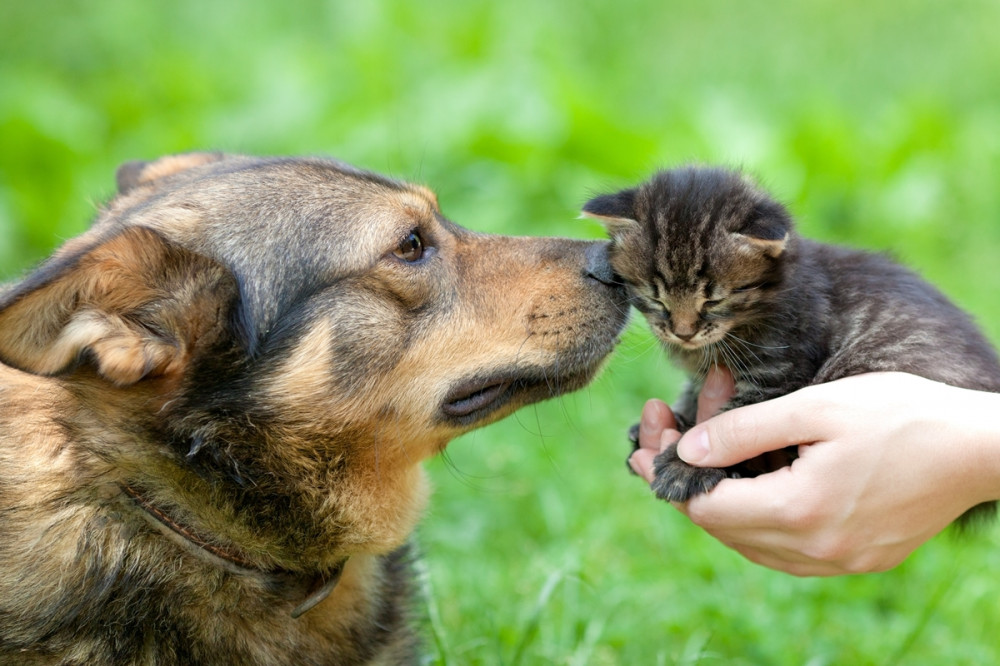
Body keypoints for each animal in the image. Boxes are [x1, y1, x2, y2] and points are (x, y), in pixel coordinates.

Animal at [584, 167, 1000, 524]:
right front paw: (678, 418)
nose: (682, 332)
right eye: (656, 298)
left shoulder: (780, 372)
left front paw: (687, 462)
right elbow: (694, 390)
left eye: (714, 300)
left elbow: (727, 415)